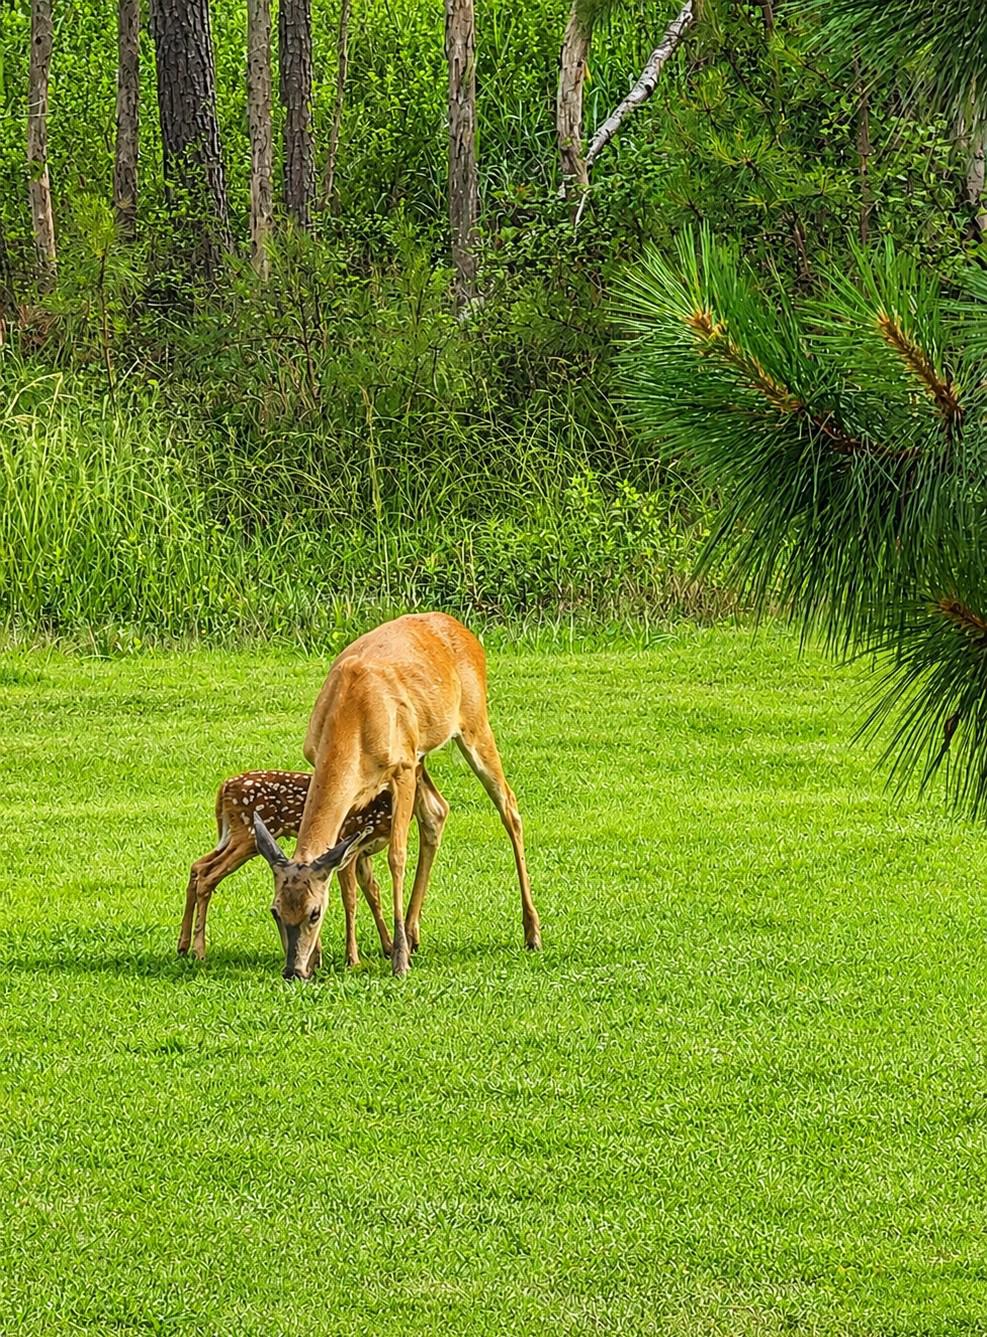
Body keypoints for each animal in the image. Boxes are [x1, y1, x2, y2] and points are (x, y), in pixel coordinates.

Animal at [178, 765, 450, 968]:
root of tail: (224, 788)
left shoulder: (363, 854)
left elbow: (374, 895)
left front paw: (389, 947)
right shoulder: (348, 844)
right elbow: (351, 899)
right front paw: (353, 959)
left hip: (234, 836)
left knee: (197, 866)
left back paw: (183, 946)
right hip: (247, 835)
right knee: (207, 875)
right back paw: (199, 951)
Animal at [253, 611, 541, 979]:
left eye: (315, 912)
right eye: (275, 910)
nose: (293, 970)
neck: (351, 723)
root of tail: (462, 628)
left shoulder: (401, 767)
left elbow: (397, 856)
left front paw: (399, 959)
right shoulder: (342, 779)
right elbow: (342, 864)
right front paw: (324, 958)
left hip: (473, 724)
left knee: (509, 806)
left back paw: (532, 932)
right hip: (421, 752)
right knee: (437, 810)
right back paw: (415, 932)